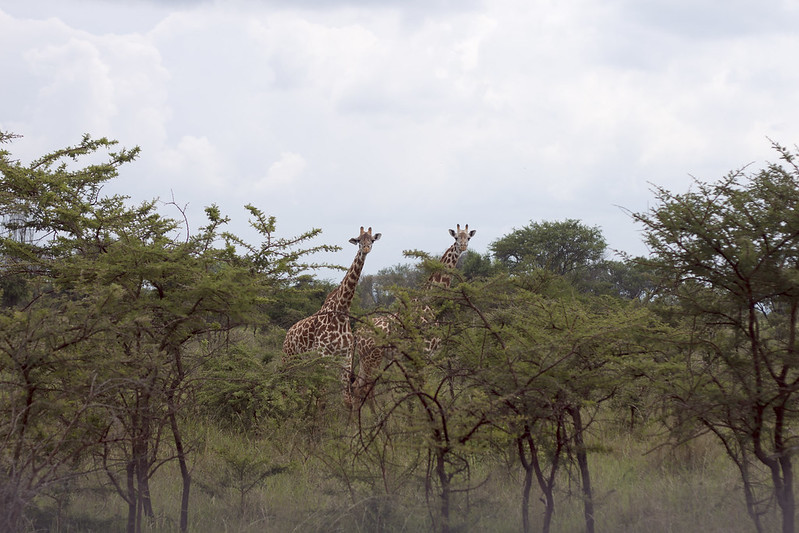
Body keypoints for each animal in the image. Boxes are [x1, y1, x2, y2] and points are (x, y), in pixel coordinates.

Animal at [282, 225, 382, 408]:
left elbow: (347, 400)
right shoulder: (323, 355)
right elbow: (321, 399)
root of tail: (288, 333)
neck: (341, 311)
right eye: (358, 240)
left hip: (304, 364)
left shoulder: (346, 356)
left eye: (371, 240)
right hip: (289, 358)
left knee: (299, 390)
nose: (365, 249)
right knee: (285, 388)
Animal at [352, 224, 476, 404]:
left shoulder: (429, 354)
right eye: (456, 237)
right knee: (364, 389)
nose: (463, 246)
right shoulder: (423, 352)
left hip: (364, 359)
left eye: (468, 237)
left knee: (356, 388)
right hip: (372, 358)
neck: (430, 302)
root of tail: (358, 332)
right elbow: (423, 389)